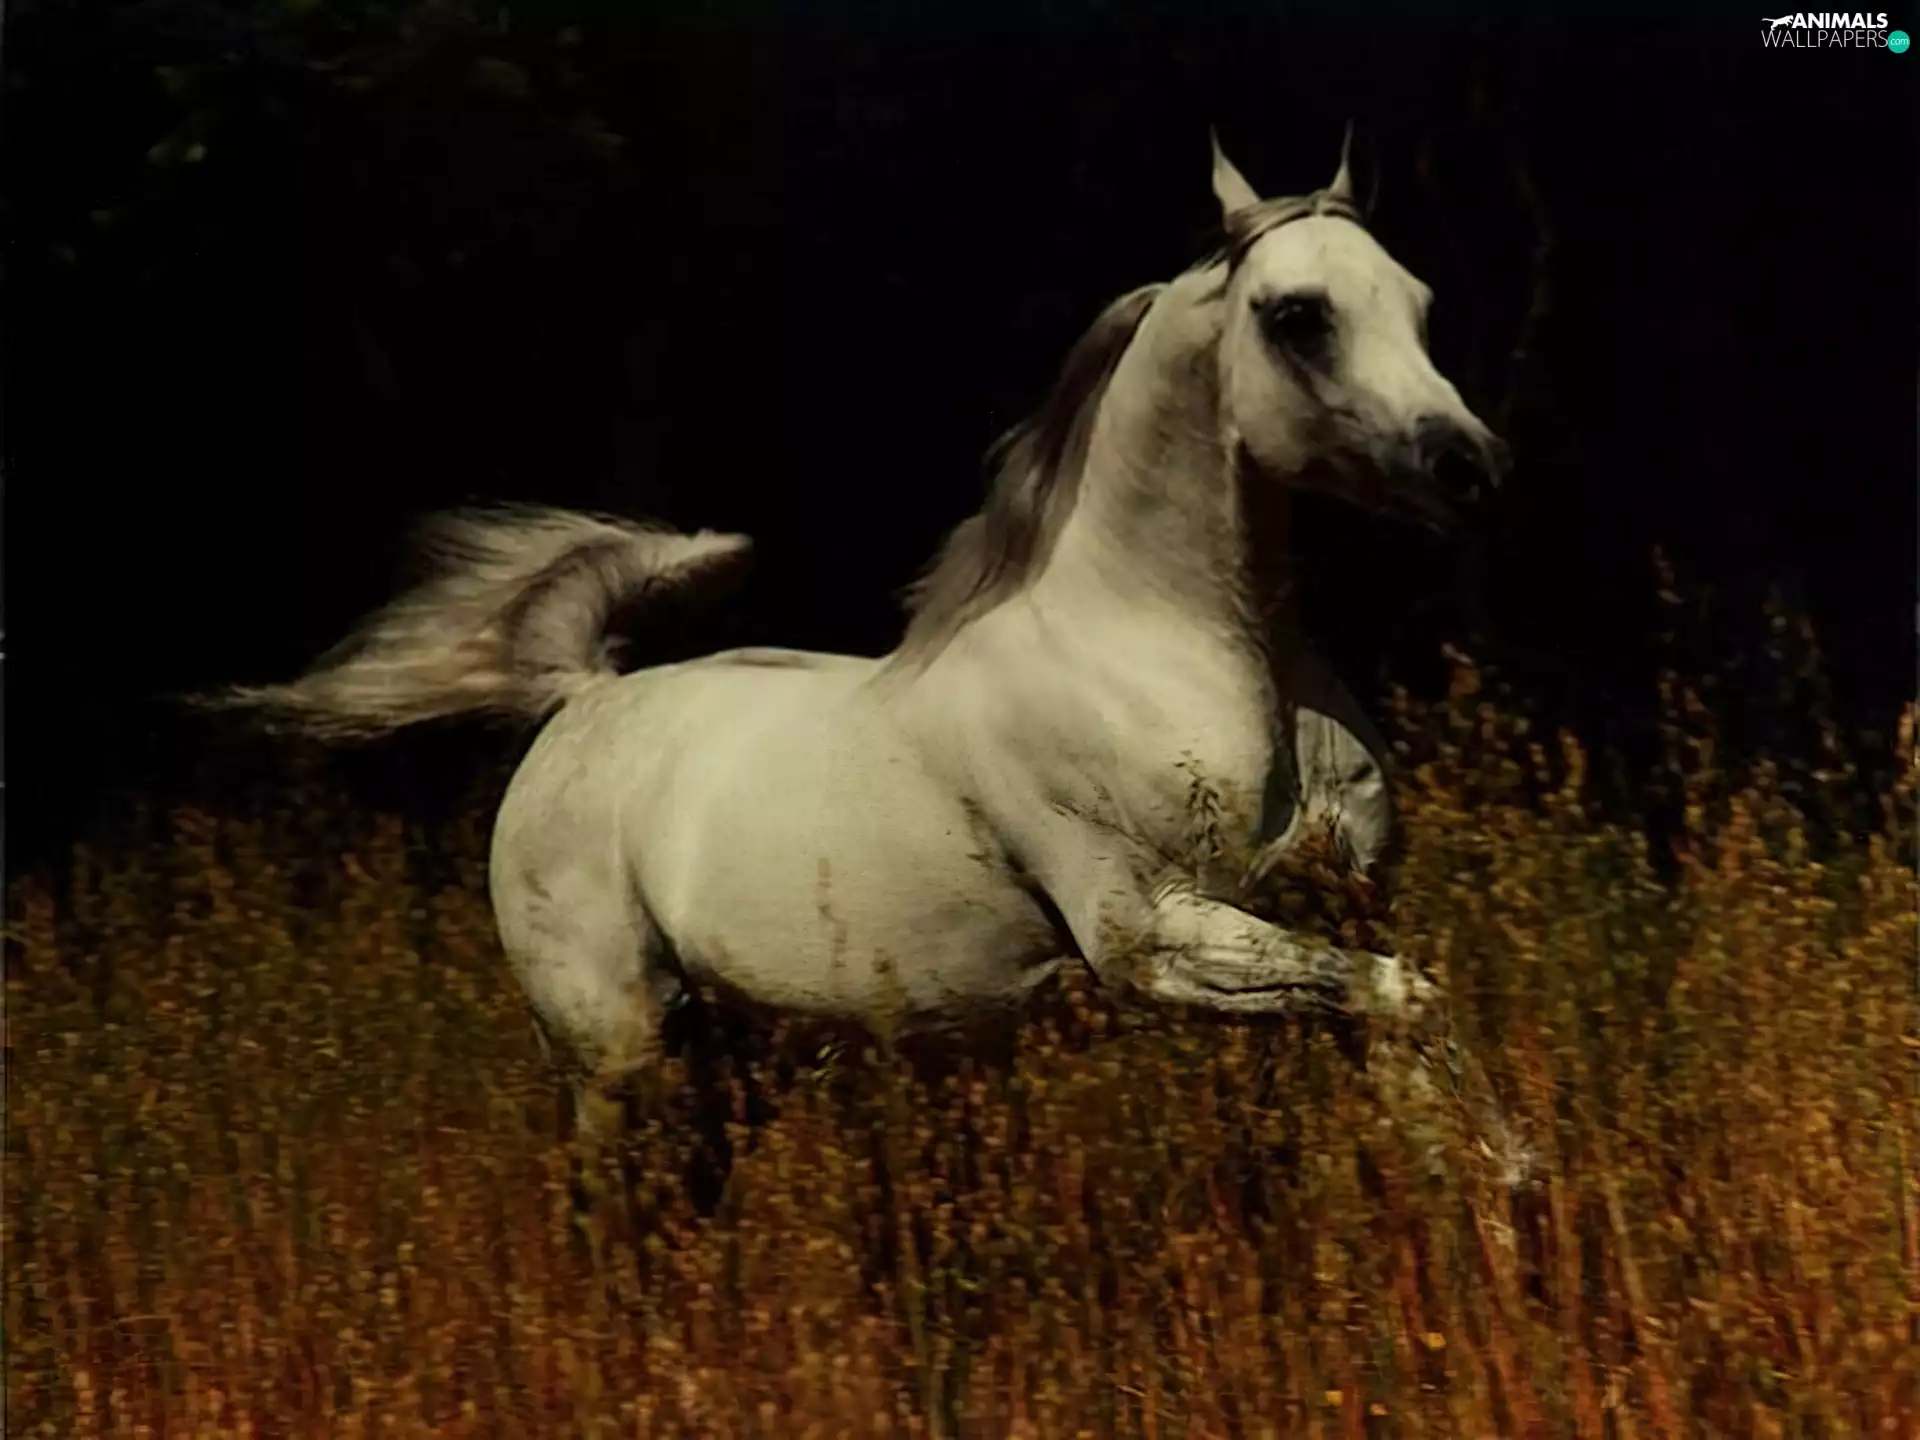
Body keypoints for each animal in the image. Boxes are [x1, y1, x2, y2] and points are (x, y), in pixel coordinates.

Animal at [205, 131, 1529, 1254]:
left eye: (1417, 303)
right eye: (1297, 315)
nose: (1469, 467)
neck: (1187, 655)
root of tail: (580, 701)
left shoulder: (1343, 909)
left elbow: (1411, 1035)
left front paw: (1502, 1222)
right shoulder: (1153, 939)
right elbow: (1406, 1003)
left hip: (738, 1056)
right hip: (618, 1060)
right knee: (613, 1233)